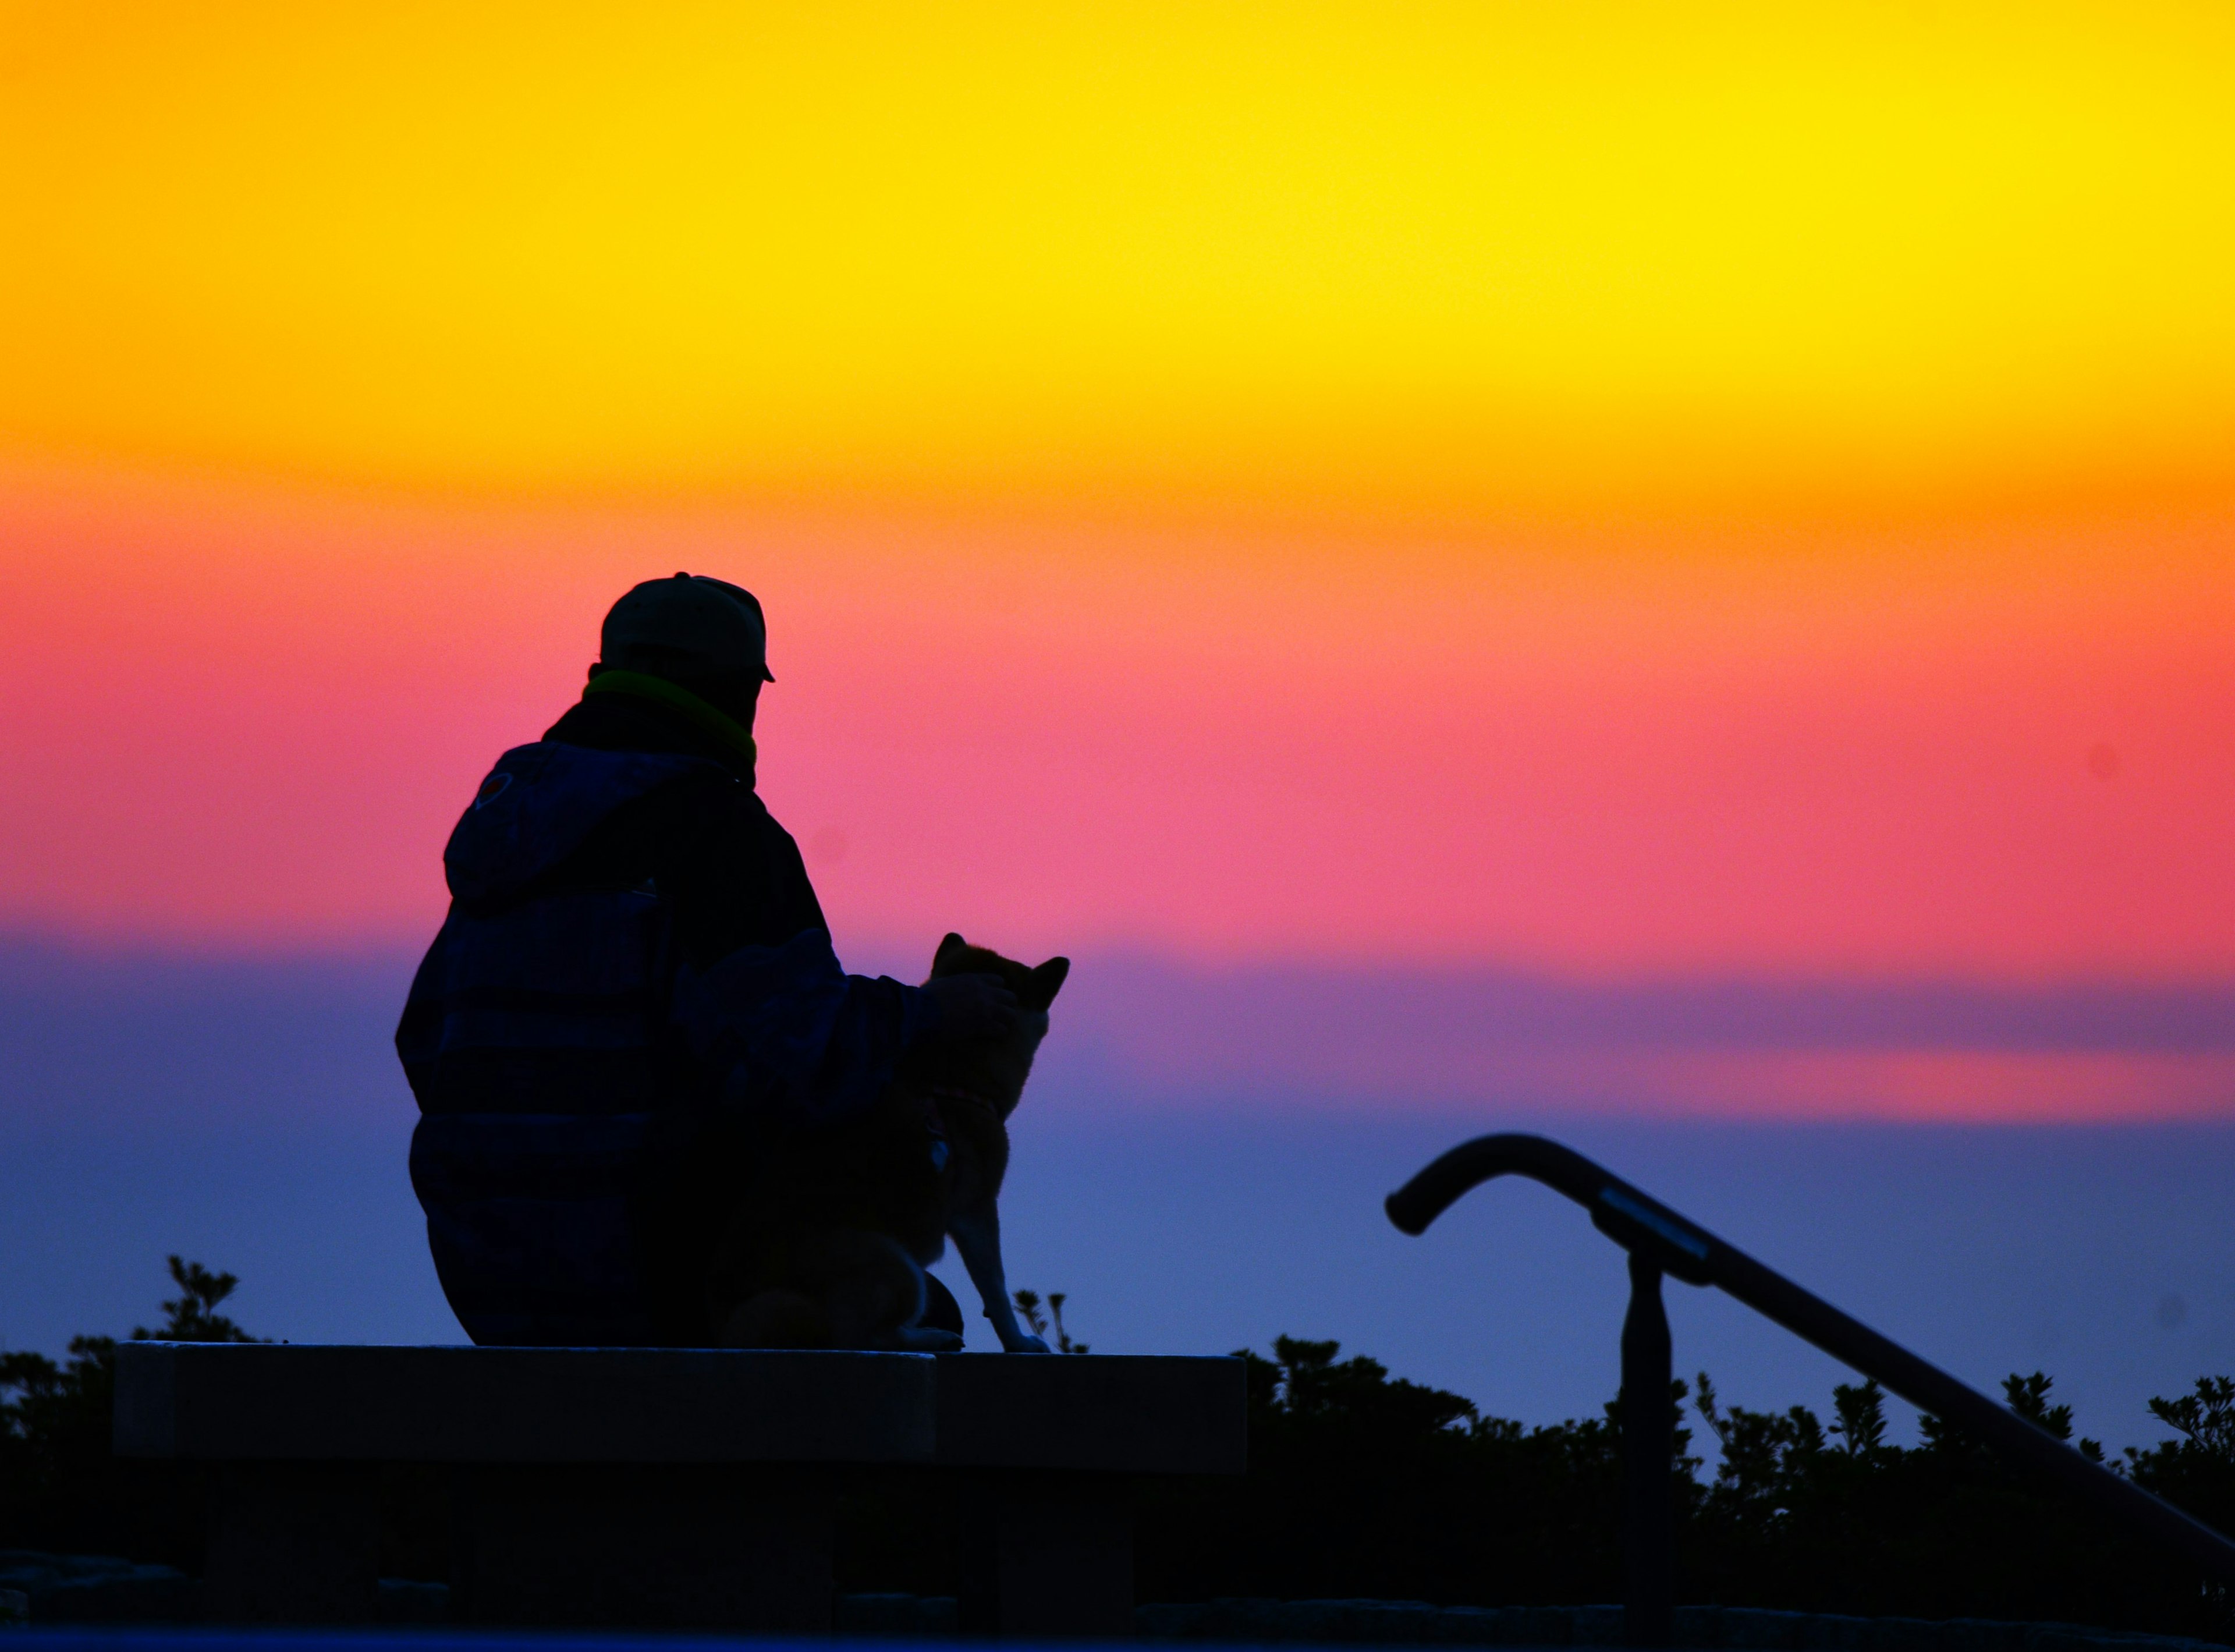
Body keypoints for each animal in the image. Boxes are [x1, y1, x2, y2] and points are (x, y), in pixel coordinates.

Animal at [711, 938, 1068, 1350]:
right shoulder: (976, 1210)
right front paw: (1018, 1341)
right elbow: (996, 1291)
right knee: (858, 1337)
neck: (948, 1077)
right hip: (898, 1266)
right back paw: (930, 1338)